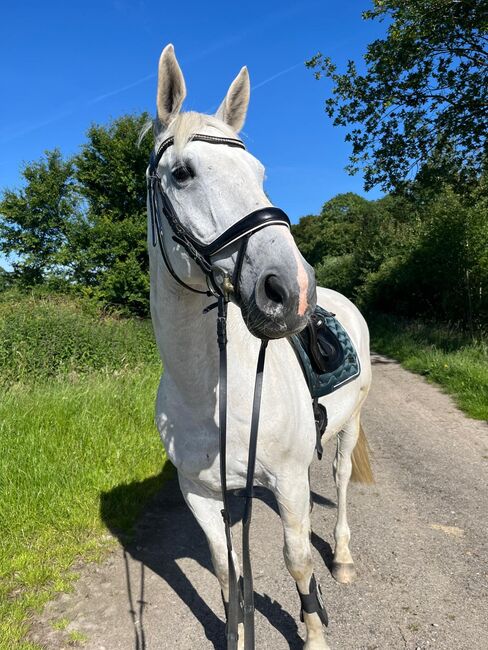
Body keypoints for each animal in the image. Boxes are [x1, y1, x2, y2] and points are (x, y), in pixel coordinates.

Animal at [147, 45, 372, 648]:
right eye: (182, 173)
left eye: (260, 174)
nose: (290, 288)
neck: (214, 392)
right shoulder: (200, 493)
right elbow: (227, 569)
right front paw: (235, 632)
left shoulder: (291, 480)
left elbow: (297, 560)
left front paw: (314, 632)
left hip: (350, 425)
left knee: (341, 482)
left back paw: (343, 557)